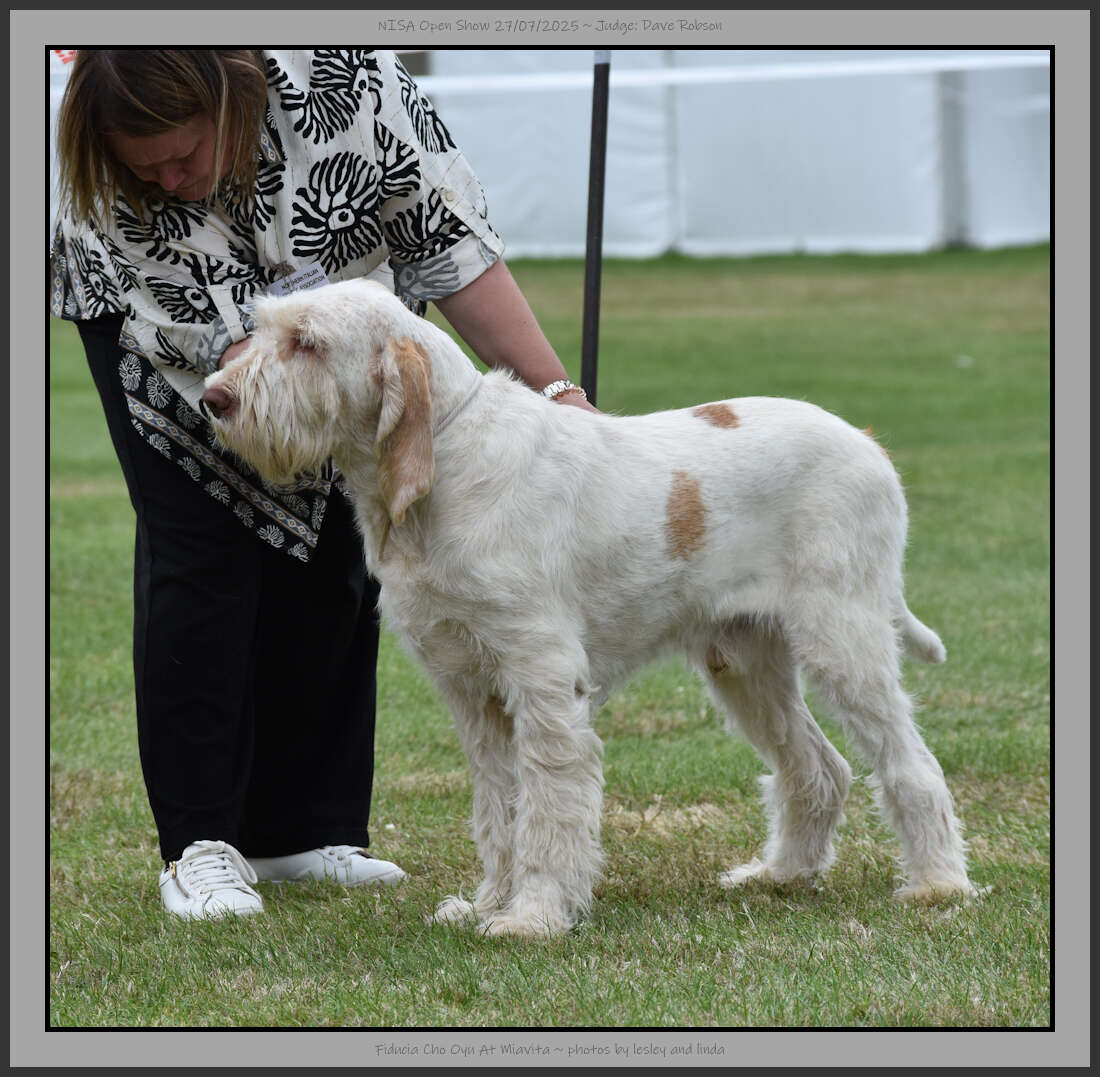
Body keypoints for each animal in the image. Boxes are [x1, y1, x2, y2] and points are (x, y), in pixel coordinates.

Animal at [201, 278, 977, 937]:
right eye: (263, 328)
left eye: (307, 342)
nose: (214, 398)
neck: (449, 462)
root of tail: (869, 445)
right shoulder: (473, 692)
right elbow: (499, 810)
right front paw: (487, 904)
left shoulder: (542, 682)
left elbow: (547, 809)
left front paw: (533, 917)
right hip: (745, 661)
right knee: (818, 766)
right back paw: (781, 873)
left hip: (843, 640)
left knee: (909, 763)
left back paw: (938, 885)